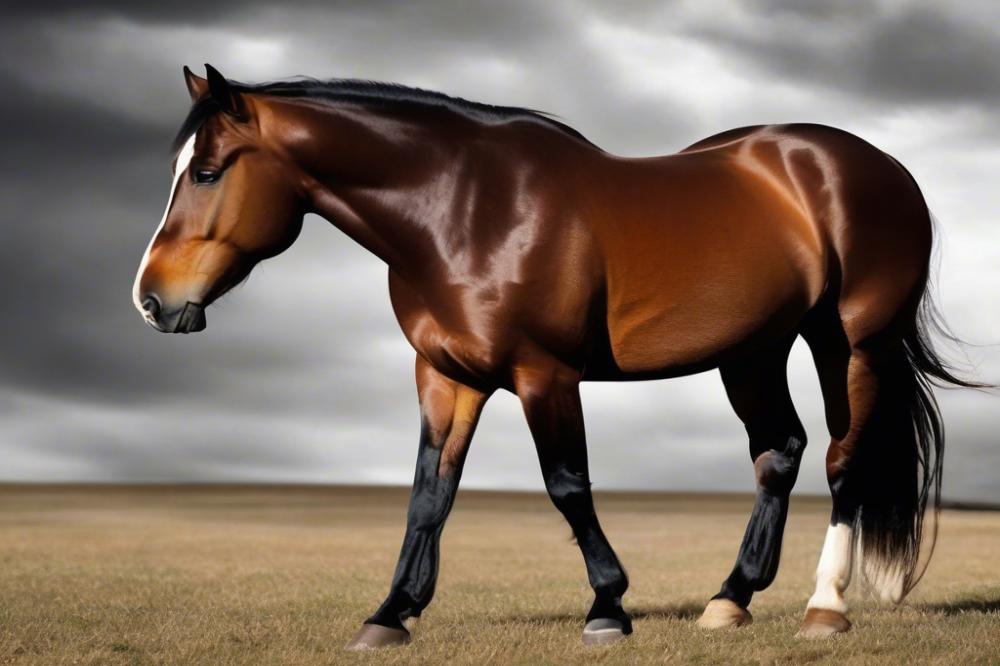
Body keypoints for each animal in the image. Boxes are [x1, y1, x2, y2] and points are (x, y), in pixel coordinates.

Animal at [133, 64, 976, 648]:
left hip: (850, 340)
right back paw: (728, 600)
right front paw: (391, 613)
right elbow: (429, 494)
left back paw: (824, 607)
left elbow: (567, 485)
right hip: (754, 349)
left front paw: (607, 607)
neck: (465, 211)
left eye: (207, 172)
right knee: (781, 450)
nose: (150, 300)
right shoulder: (447, 377)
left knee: (843, 459)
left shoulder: (544, 374)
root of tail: (874, 165)